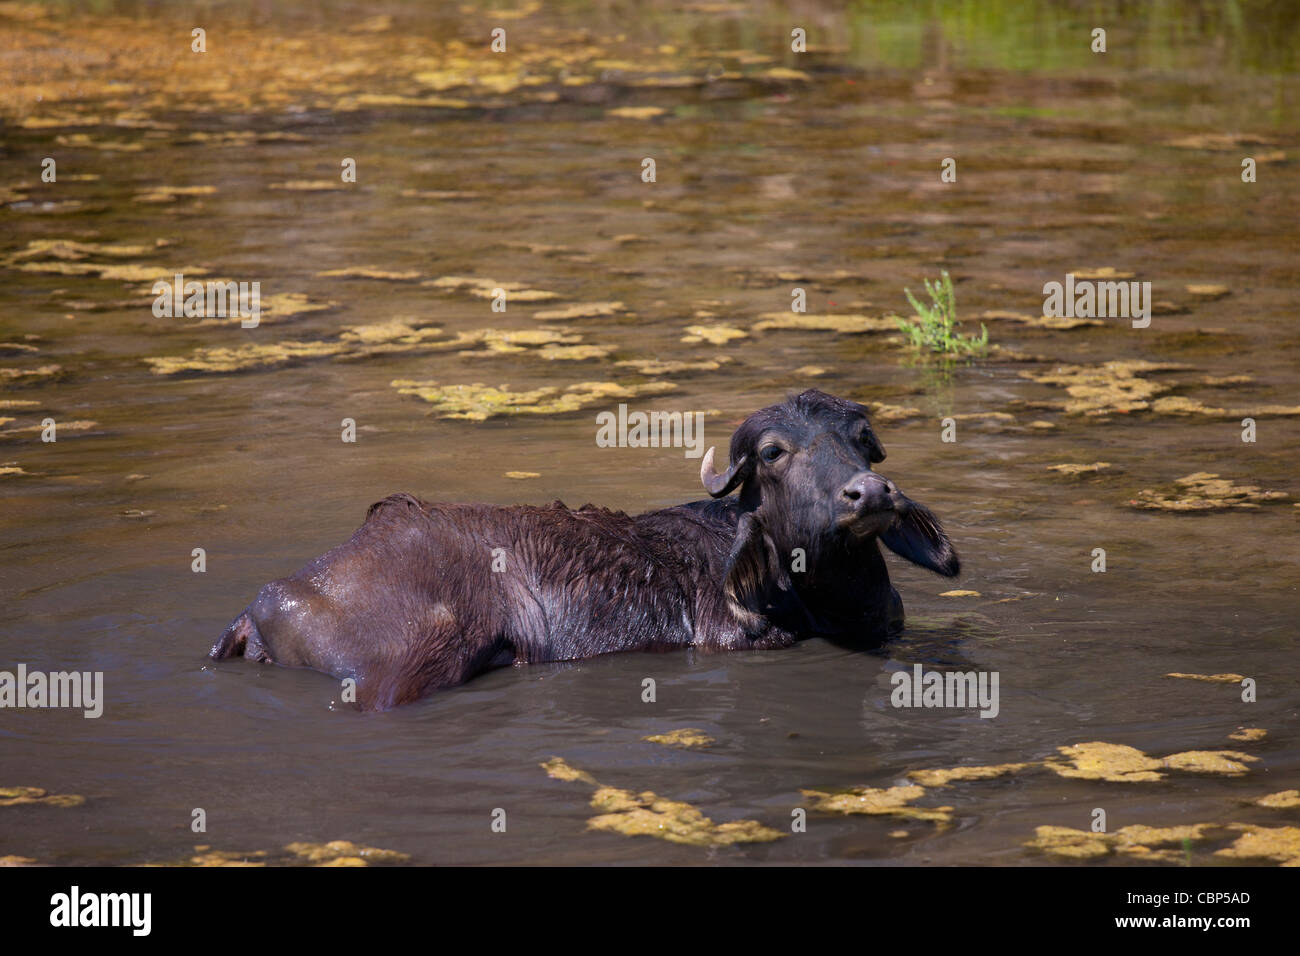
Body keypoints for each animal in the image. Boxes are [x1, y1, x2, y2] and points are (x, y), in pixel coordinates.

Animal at [210, 390, 956, 712]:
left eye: (863, 440)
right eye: (774, 453)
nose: (869, 493)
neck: (820, 594)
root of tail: (275, 598)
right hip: (410, 663)